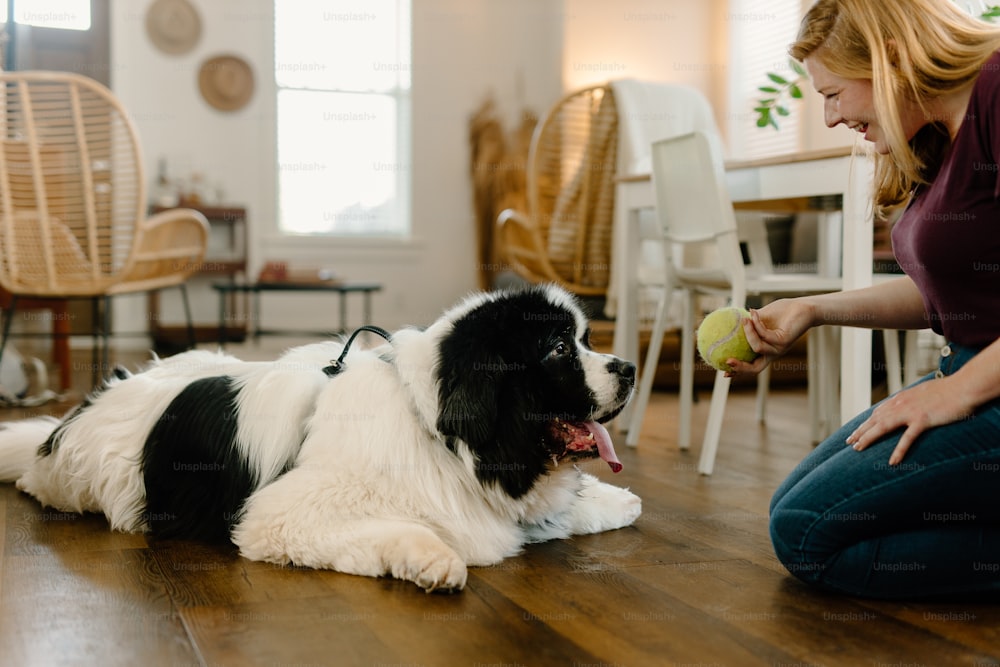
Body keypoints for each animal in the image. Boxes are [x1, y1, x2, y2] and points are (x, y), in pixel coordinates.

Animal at [0, 284, 640, 592]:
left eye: (585, 341)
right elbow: (401, 528)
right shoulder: (282, 516)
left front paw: (617, 502)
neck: (434, 430)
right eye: (559, 350)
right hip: (80, 483)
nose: (630, 367)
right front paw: (431, 559)